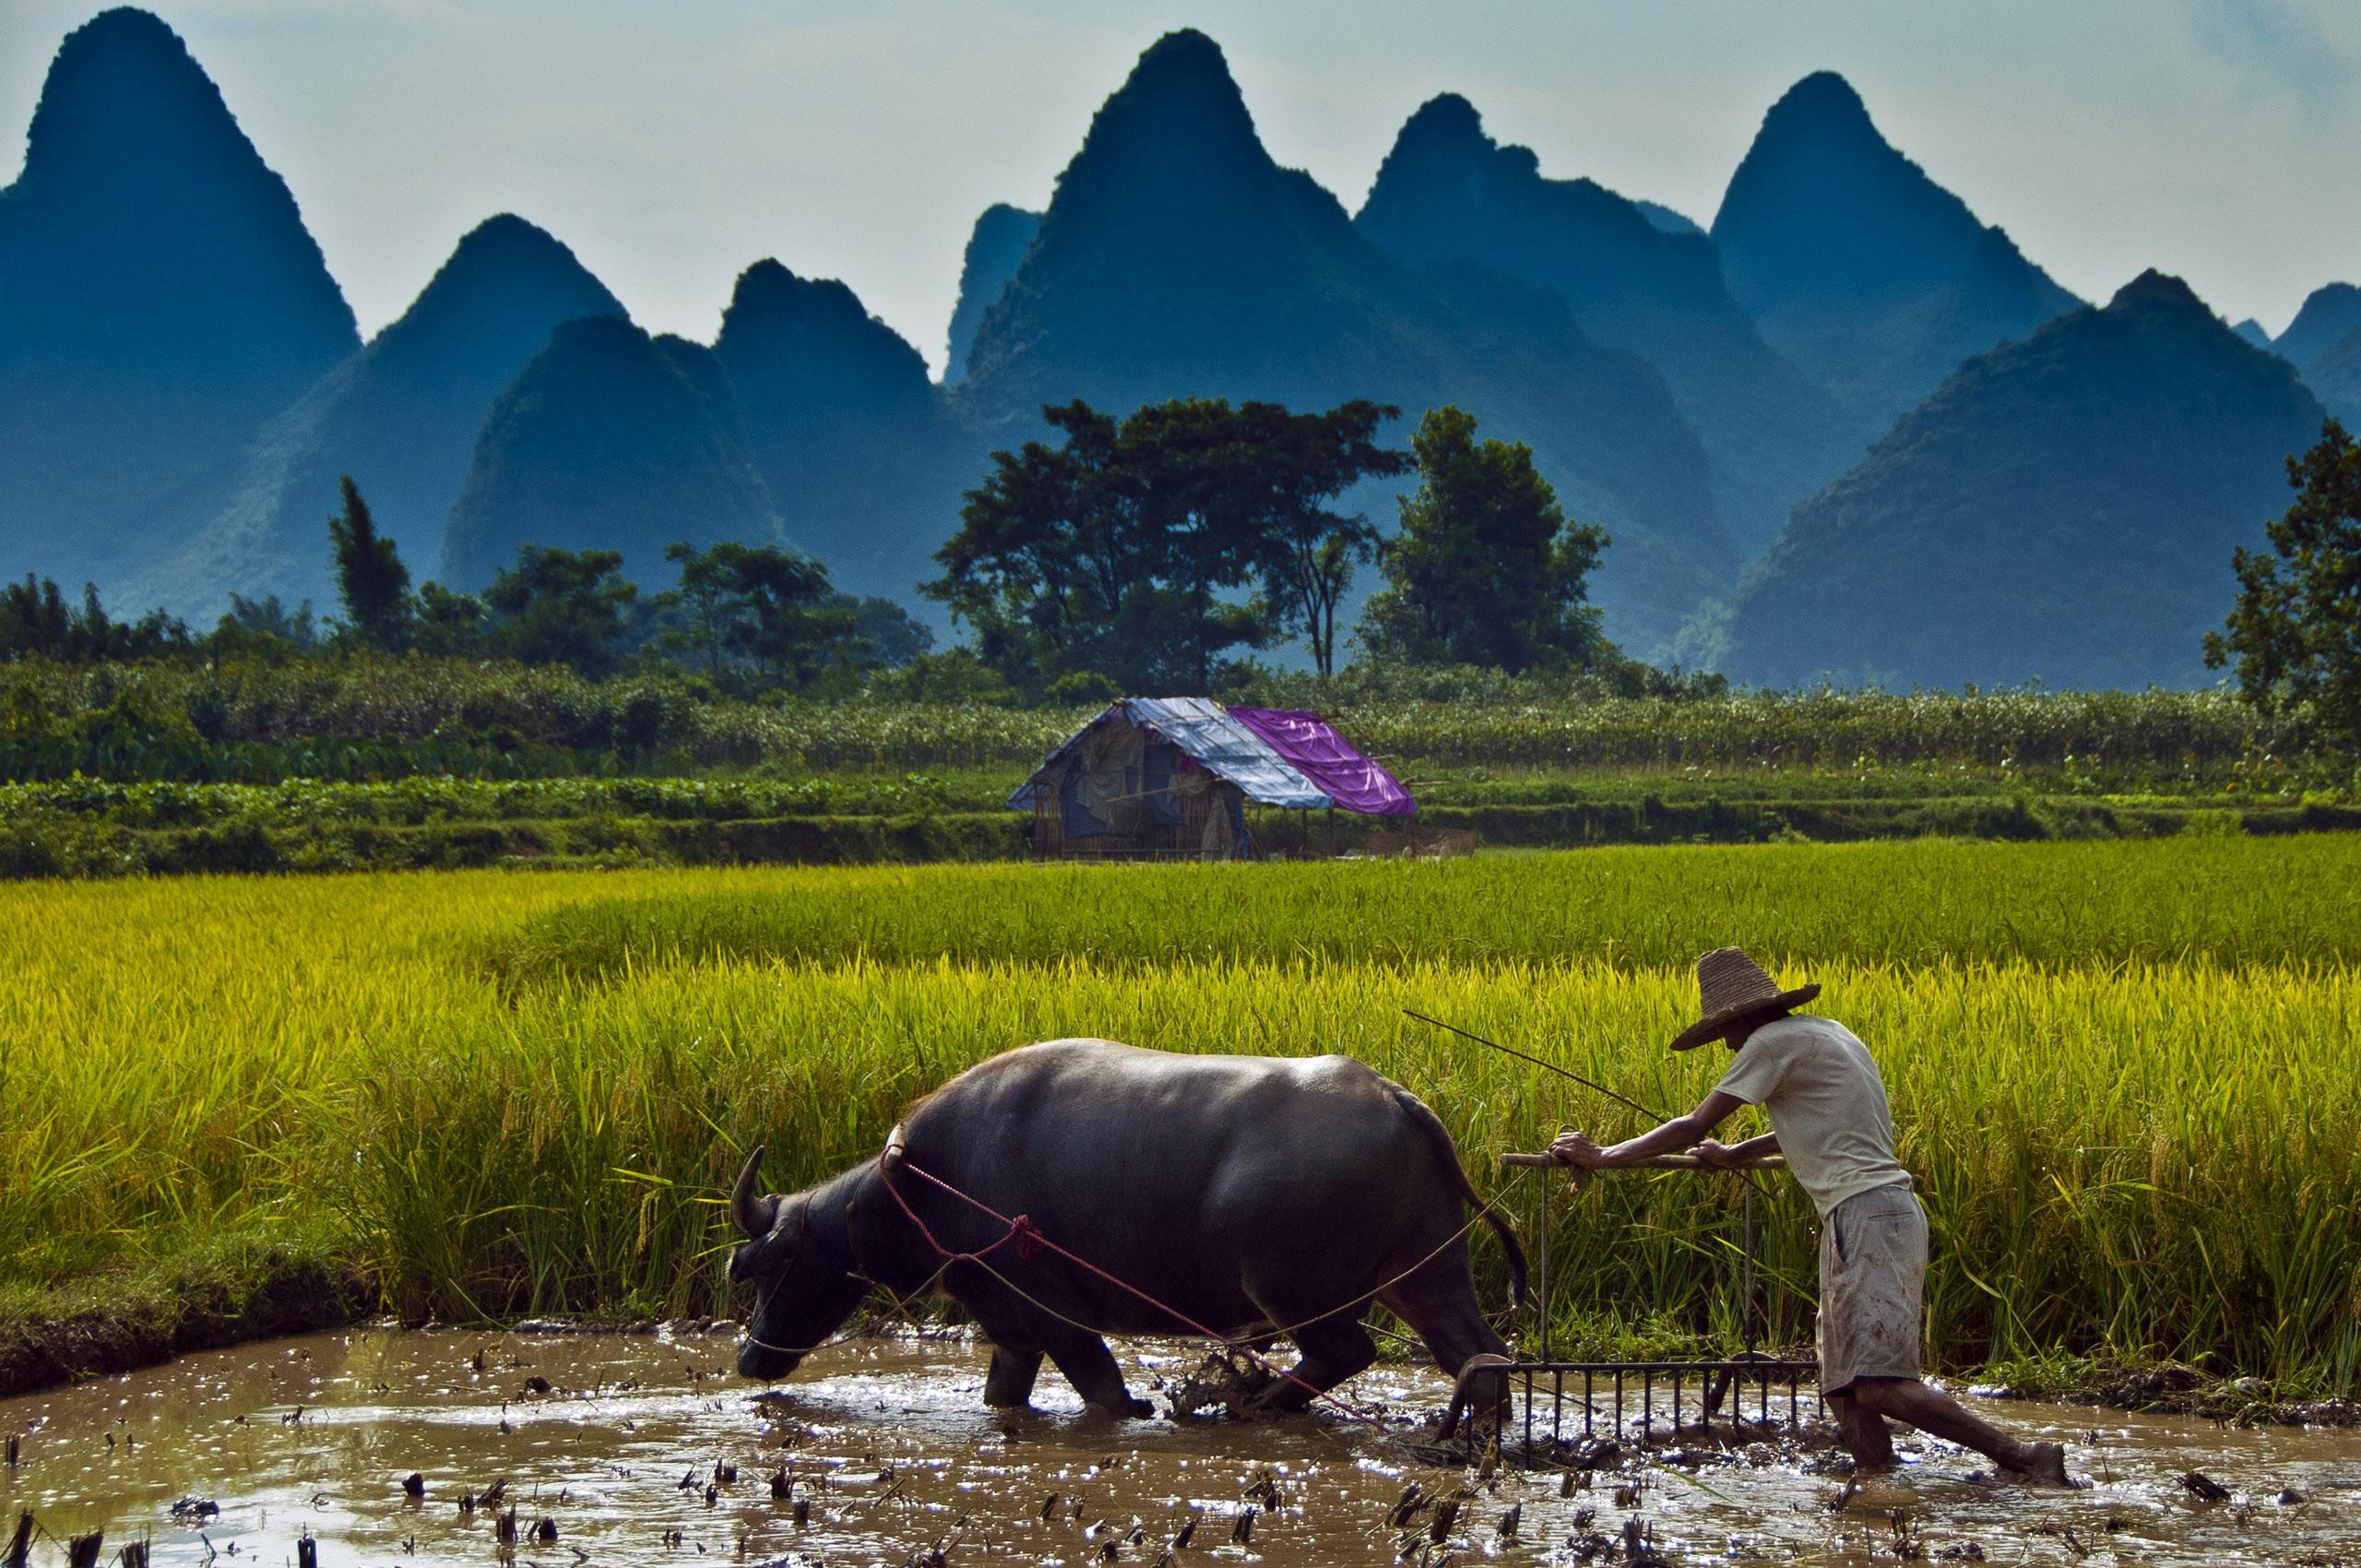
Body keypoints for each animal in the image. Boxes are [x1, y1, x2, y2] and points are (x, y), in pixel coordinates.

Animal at [727, 1034, 1520, 1417]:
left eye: (772, 1265)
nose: (749, 1358)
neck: (921, 1181)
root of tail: (1396, 1098)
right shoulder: (1006, 1322)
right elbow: (1004, 1393)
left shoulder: (1050, 1303)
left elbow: (1104, 1389)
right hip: (1424, 1272)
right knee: (1477, 1357)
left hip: (1290, 1288)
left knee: (1348, 1351)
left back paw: (1256, 1403)